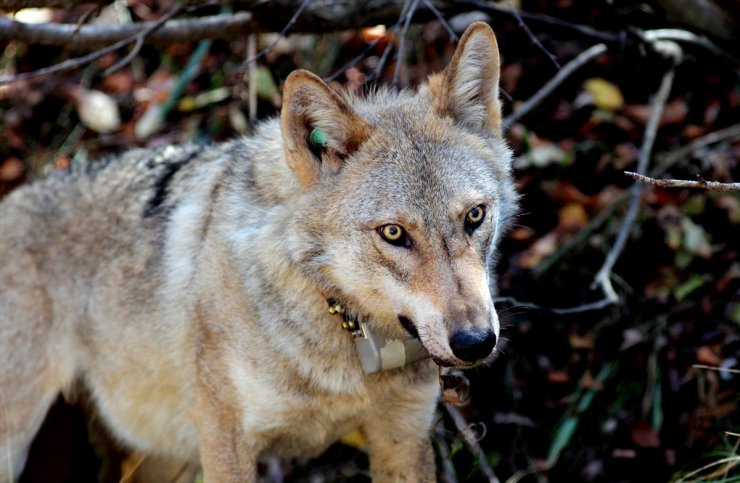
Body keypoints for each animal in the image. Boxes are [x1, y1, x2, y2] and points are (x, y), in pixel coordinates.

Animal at [0, 22, 516, 483]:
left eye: (474, 216)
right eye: (393, 233)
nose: (475, 342)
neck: (340, 323)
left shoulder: (404, 436)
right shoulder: (225, 440)